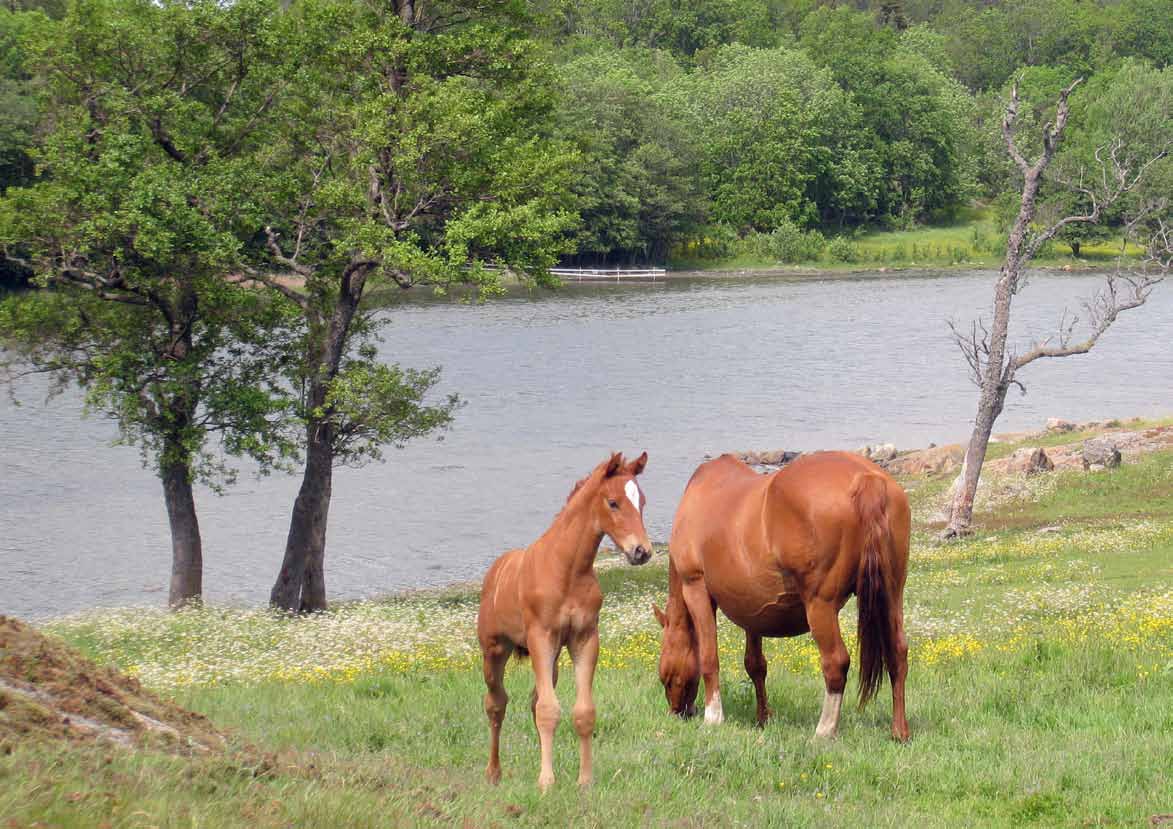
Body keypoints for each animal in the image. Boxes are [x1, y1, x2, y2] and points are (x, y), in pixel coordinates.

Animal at [478, 454, 661, 792]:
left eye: (641, 501)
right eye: (613, 502)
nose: (641, 551)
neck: (567, 569)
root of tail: (495, 571)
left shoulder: (584, 638)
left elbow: (582, 711)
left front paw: (584, 781)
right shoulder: (541, 637)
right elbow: (549, 710)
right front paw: (546, 783)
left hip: (550, 661)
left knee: (534, 700)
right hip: (495, 650)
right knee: (496, 703)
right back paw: (493, 773)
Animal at [652, 450, 914, 741]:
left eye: (665, 675)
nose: (678, 712)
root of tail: (867, 480)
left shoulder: (696, 588)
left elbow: (709, 658)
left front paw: (713, 718)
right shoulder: (751, 609)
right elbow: (755, 665)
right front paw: (762, 717)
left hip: (820, 606)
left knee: (835, 663)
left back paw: (824, 731)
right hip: (892, 596)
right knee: (898, 653)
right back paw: (899, 731)